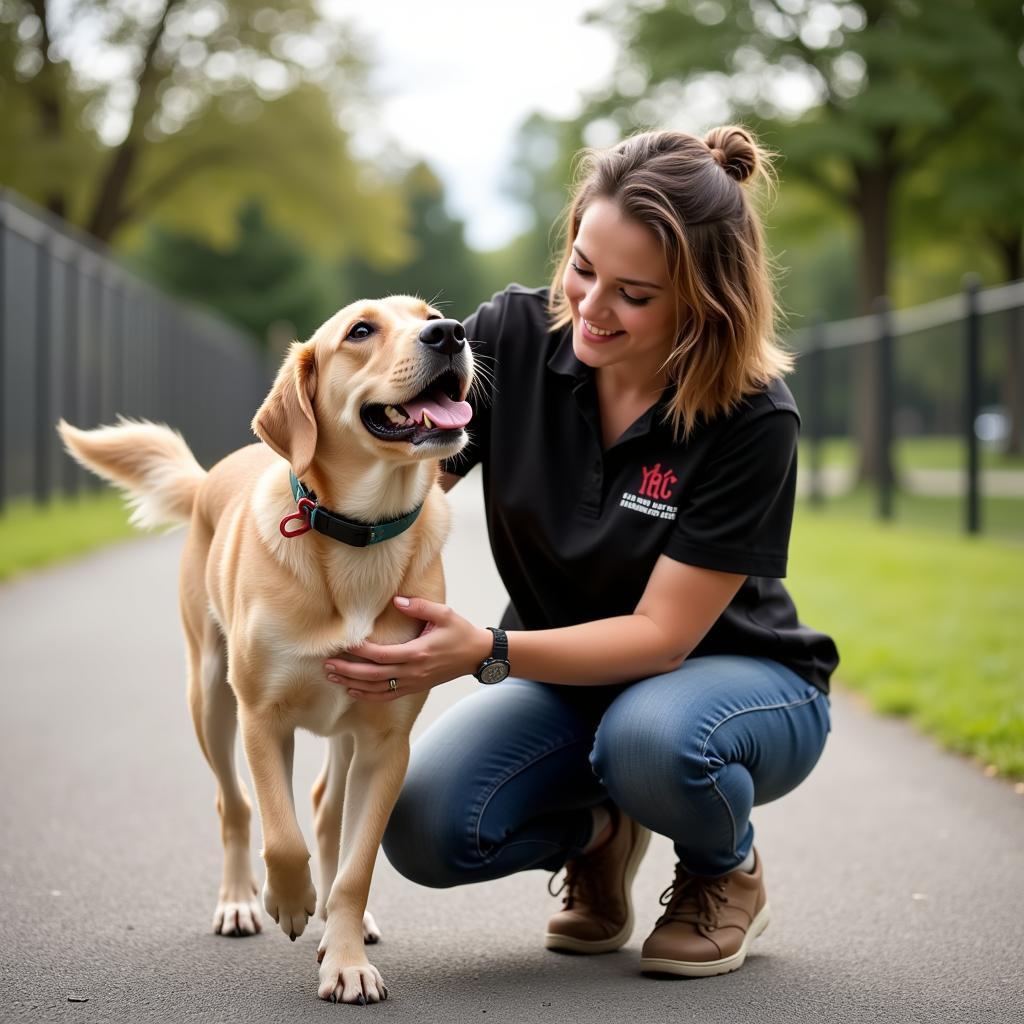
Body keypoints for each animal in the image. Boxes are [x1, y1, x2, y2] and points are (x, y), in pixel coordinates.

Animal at [56, 294, 471, 999]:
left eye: (428, 315)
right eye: (361, 330)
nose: (452, 334)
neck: (358, 536)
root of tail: (208, 477)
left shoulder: (387, 741)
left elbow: (356, 865)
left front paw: (345, 957)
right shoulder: (261, 716)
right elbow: (280, 833)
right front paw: (289, 899)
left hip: (343, 732)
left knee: (328, 813)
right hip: (210, 699)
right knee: (234, 803)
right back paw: (240, 902)